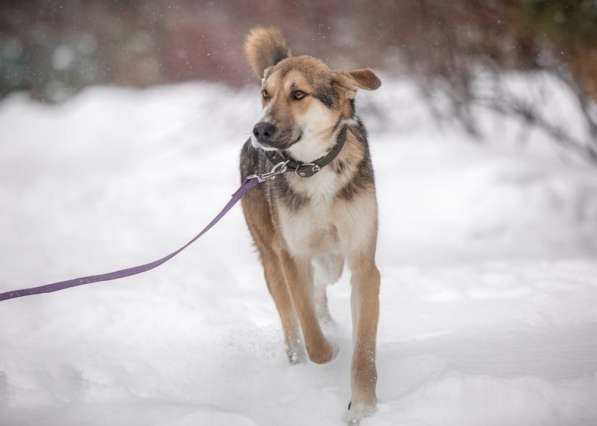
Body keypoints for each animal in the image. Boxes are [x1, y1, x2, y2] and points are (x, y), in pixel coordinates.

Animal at [239, 26, 382, 422]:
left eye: (298, 94)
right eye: (266, 94)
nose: (260, 130)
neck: (314, 167)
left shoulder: (364, 264)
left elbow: (364, 350)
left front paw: (362, 406)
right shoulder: (293, 256)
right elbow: (308, 325)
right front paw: (328, 352)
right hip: (270, 258)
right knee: (291, 320)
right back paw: (298, 359)